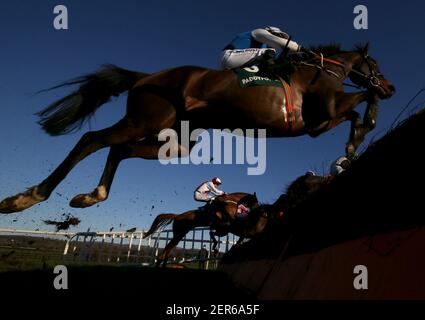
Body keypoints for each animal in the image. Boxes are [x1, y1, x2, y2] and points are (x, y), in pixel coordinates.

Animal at [0, 42, 394, 212]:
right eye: (375, 65)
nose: (391, 87)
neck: (319, 69)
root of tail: (147, 77)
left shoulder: (318, 123)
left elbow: (354, 114)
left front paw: (354, 142)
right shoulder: (321, 114)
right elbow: (360, 102)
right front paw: (366, 126)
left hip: (174, 140)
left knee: (120, 148)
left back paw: (92, 195)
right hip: (145, 119)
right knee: (91, 139)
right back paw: (26, 197)